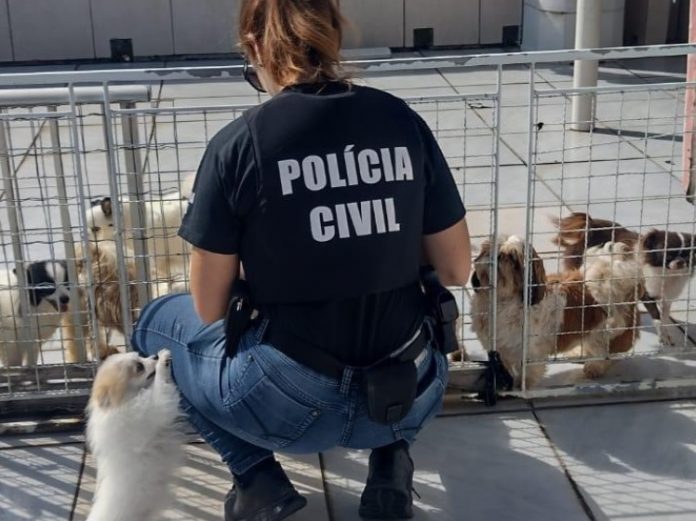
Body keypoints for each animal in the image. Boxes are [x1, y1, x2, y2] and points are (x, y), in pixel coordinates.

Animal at [86, 350, 185, 520]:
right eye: (139, 367)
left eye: (140, 356)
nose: (154, 356)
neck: (124, 402)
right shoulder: (153, 409)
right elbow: (162, 388)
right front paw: (163, 362)